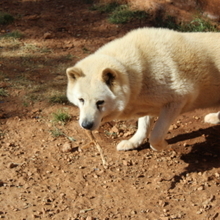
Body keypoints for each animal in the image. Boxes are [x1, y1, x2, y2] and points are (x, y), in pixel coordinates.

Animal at [66, 27, 220, 151]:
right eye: (81, 100)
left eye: (100, 102)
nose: (86, 125)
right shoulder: (148, 105)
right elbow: (143, 127)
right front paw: (132, 143)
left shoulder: (178, 100)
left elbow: (155, 135)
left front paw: (162, 146)